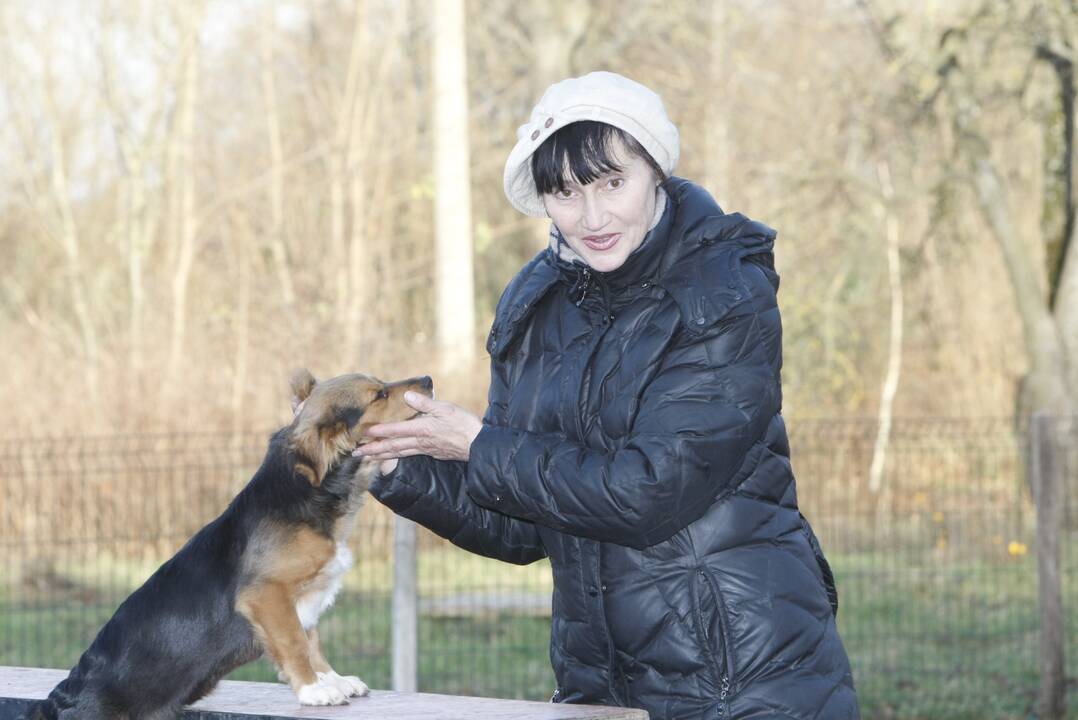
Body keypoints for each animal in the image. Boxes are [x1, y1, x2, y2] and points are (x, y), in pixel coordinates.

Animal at [23, 370, 431, 719]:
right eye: (379, 395)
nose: (427, 379)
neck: (310, 493)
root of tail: (58, 700)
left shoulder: (304, 598)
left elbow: (312, 640)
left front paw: (333, 680)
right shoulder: (266, 594)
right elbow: (296, 644)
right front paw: (313, 690)